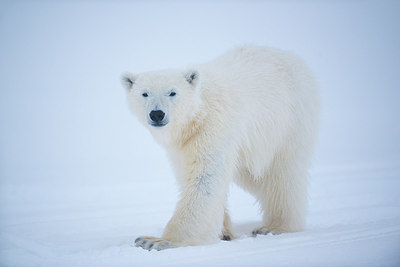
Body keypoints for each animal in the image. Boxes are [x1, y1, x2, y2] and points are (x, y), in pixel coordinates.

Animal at [122, 45, 318, 251]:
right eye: (144, 93)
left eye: (172, 92)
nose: (157, 114)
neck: (197, 114)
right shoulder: (182, 145)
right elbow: (189, 176)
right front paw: (224, 232)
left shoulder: (214, 125)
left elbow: (205, 178)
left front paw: (154, 241)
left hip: (290, 121)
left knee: (282, 175)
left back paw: (275, 227)